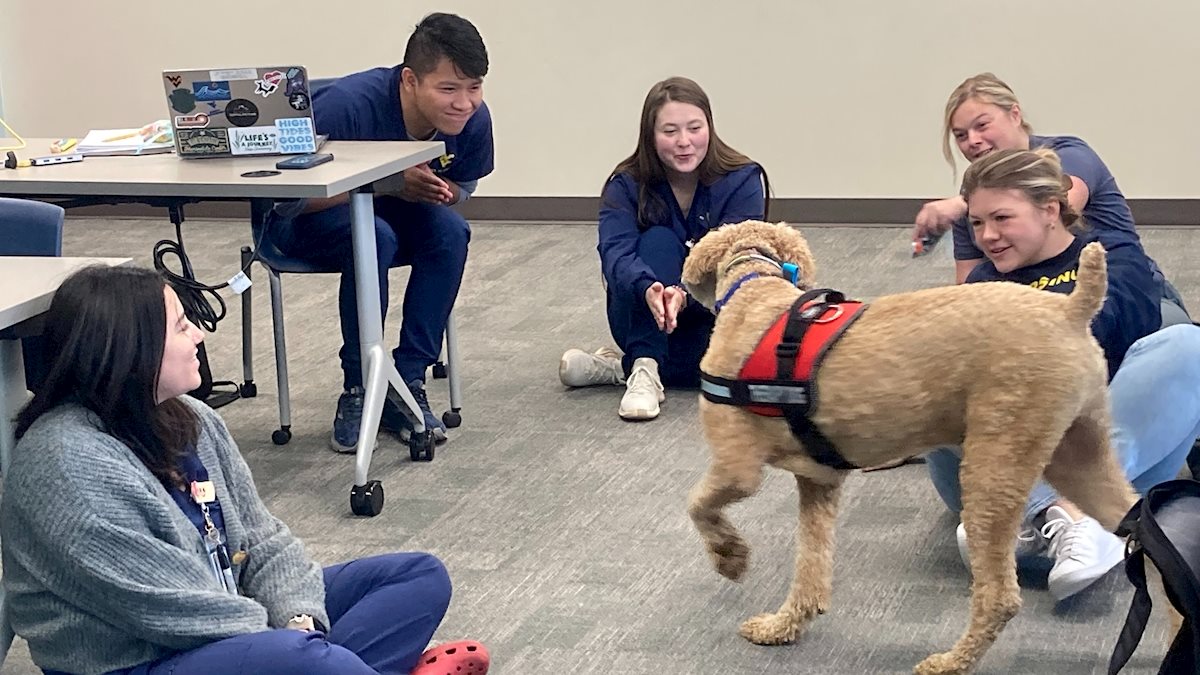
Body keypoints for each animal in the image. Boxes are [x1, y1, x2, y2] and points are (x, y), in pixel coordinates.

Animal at [681, 220, 1137, 672]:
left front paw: (730, 557)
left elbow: (698, 505)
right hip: (1079, 455)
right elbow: (811, 564)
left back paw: (951, 662)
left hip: (995, 466)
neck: (754, 288)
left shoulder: (737, 467)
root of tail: (1069, 310)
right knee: (1140, 527)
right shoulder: (819, 482)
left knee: (1000, 596)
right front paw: (784, 625)